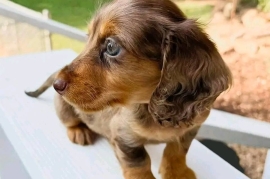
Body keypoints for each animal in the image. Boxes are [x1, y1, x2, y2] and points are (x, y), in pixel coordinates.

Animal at [24, 0, 232, 178]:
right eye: (88, 37)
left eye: (111, 46)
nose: (57, 84)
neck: (150, 108)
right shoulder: (124, 136)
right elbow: (139, 163)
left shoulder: (190, 128)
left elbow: (177, 150)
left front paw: (178, 173)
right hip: (65, 109)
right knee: (70, 121)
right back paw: (79, 130)